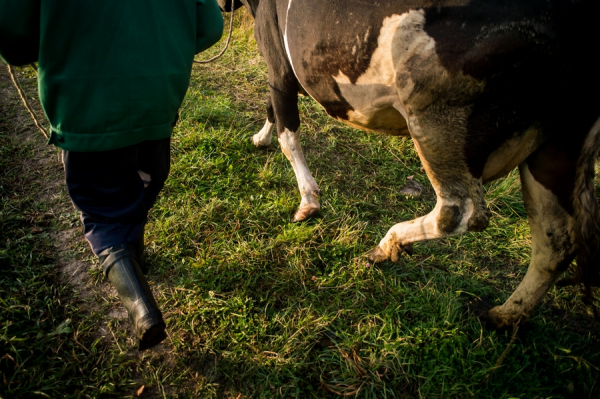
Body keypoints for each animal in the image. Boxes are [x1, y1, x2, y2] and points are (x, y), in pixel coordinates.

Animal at [218, 0, 600, 328]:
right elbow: (273, 112)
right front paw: (260, 138)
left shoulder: (279, 66)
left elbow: (287, 132)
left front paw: (307, 201)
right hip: (559, 144)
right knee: (555, 241)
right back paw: (503, 316)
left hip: (435, 116)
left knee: (460, 211)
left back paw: (389, 243)